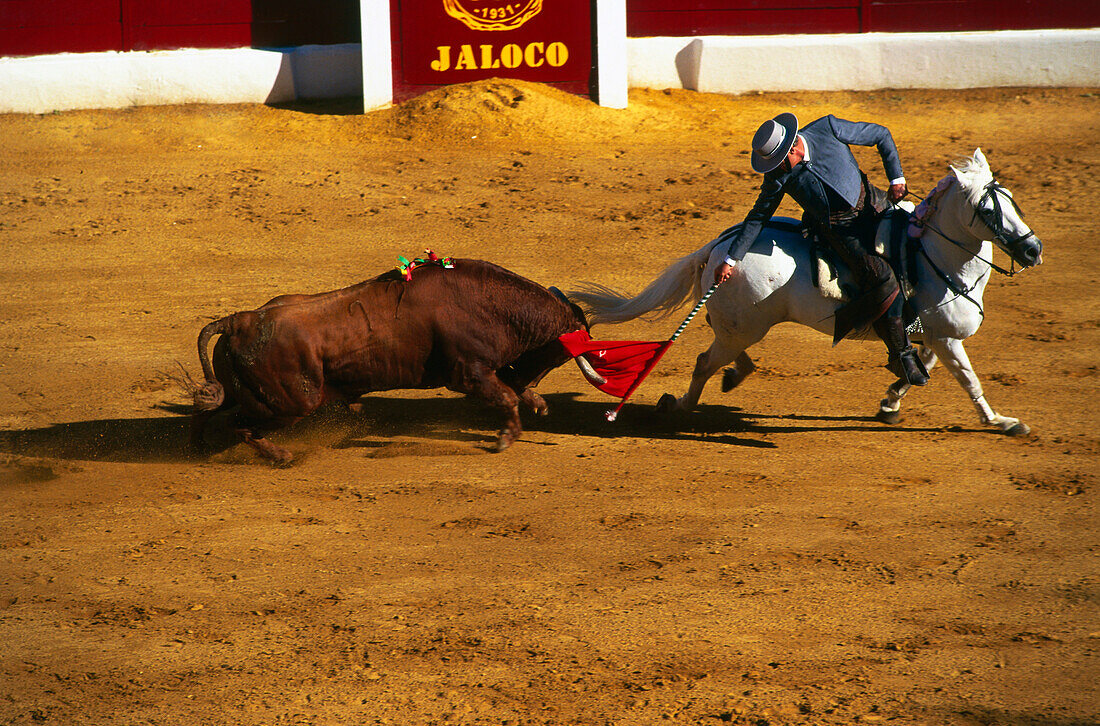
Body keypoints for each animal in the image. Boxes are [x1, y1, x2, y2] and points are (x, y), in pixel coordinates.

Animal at [193, 258, 598, 462]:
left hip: (259, 397)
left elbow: (509, 391)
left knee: (212, 412)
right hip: (290, 404)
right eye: (558, 355)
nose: (532, 380)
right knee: (240, 425)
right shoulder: (468, 373)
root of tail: (241, 320)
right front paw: (505, 438)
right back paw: (281, 455)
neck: (494, 303)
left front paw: (538, 403)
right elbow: (506, 396)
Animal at [572, 146, 1042, 431]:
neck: (933, 255)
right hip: (746, 325)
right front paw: (1002, 422)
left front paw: (890, 403)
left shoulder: (932, 335)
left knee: (721, 352)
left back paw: (733, 376)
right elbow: (968, 379)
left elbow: (921, 365)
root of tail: (723, 247)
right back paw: (681, 404)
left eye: (1011, 198)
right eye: (987, 210)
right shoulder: (945, 336)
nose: (1033, 249)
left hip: (742, 325)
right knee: (705, 361)